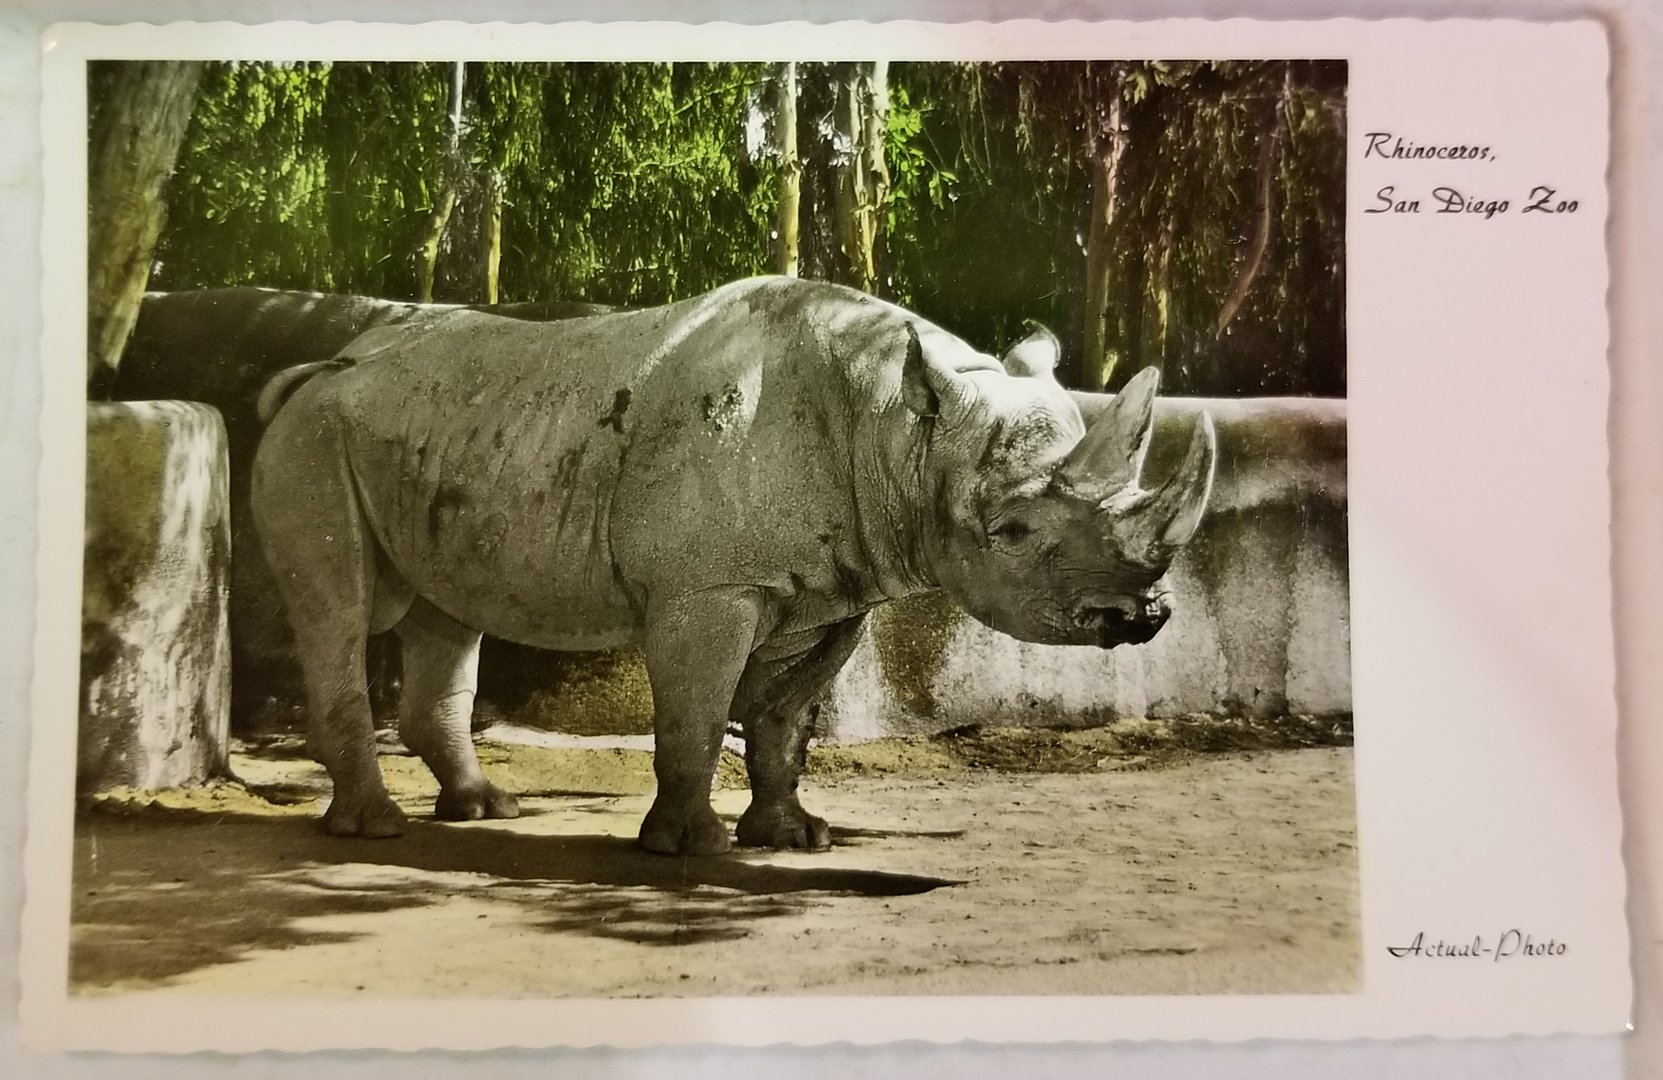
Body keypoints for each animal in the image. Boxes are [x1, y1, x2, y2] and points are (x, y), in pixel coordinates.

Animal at [251, 276, 1216, 855]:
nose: (1144, 616)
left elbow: (784, 721)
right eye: (1010, 532)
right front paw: (692, 848)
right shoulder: (706, 590)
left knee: (445, 616)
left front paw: (795, 836)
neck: (898, 434)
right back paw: (373, 831)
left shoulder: (836, 594)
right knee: (340, 614)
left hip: (432, 432)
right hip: (315, 442)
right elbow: (697, 714)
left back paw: (484, 810)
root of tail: (312, 372)